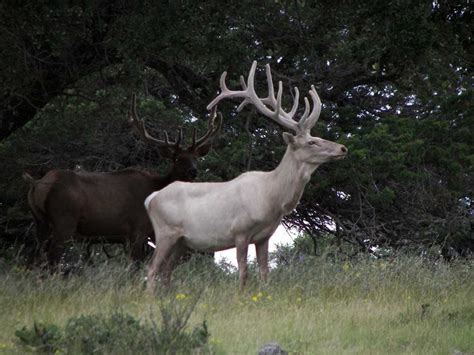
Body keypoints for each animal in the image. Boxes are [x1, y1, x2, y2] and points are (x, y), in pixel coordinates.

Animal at [23, 96, 221, 268]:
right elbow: (136, 267)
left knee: (35, 260)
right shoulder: (137, 229)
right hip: (64, 220)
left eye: (196, 158)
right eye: (178, 159)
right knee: (51, 261)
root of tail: (38, 185)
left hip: (40, 223)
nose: (193, 171)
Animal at [145, 60, 348, 290]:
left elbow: (265, 272)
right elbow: (243, 272)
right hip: (165, 232)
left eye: (318, 137)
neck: (271, 198)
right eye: (312, 142)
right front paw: (240, 295)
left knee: (166, 272)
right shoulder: (240, 230)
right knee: (152, 269)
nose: (342, 148)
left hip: (182, 241)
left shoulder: (264, 237)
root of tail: (151, 199)